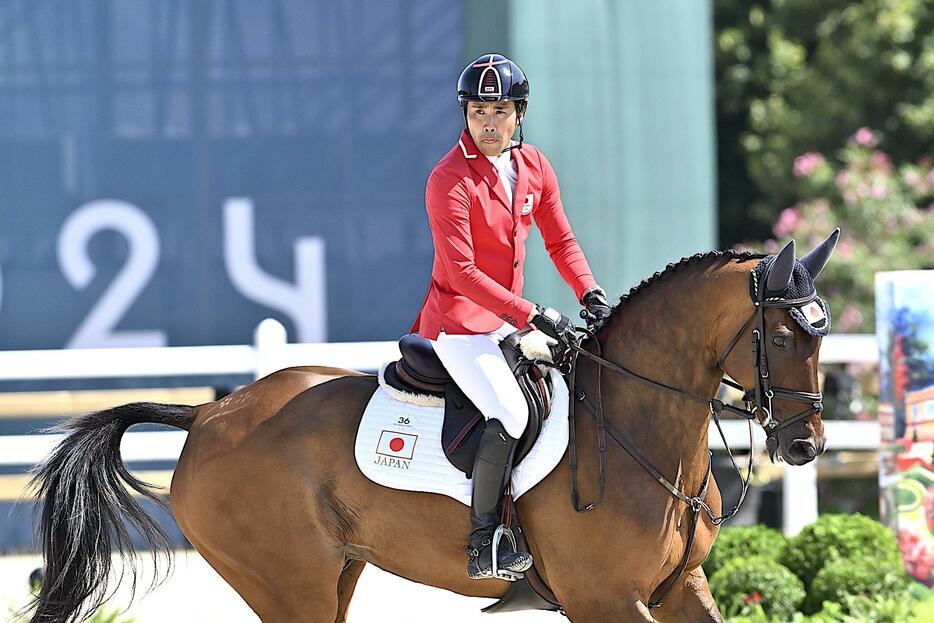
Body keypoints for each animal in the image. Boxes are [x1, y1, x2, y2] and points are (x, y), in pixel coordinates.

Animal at [27, 234, 840, 623]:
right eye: (784, 334)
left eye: (822, 334)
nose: (804, 445)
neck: (638, 425)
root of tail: (209, 413)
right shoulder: (604, 599)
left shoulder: (678, 588)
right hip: (287, 584)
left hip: (334, 574)